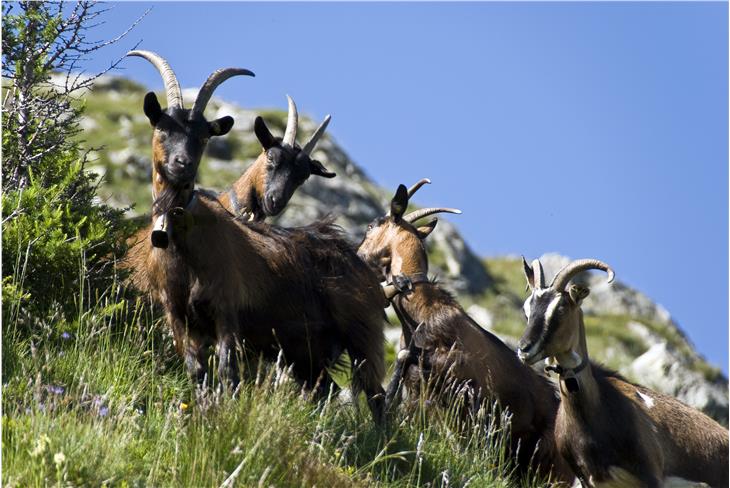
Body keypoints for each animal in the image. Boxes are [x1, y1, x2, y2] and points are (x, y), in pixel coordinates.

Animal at [357, 181, 575, 484]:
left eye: (371, 225)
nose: (357, 255)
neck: (422, 311)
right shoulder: (419, 389)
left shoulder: (457, 372)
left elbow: (404, 357)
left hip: (550, 466)